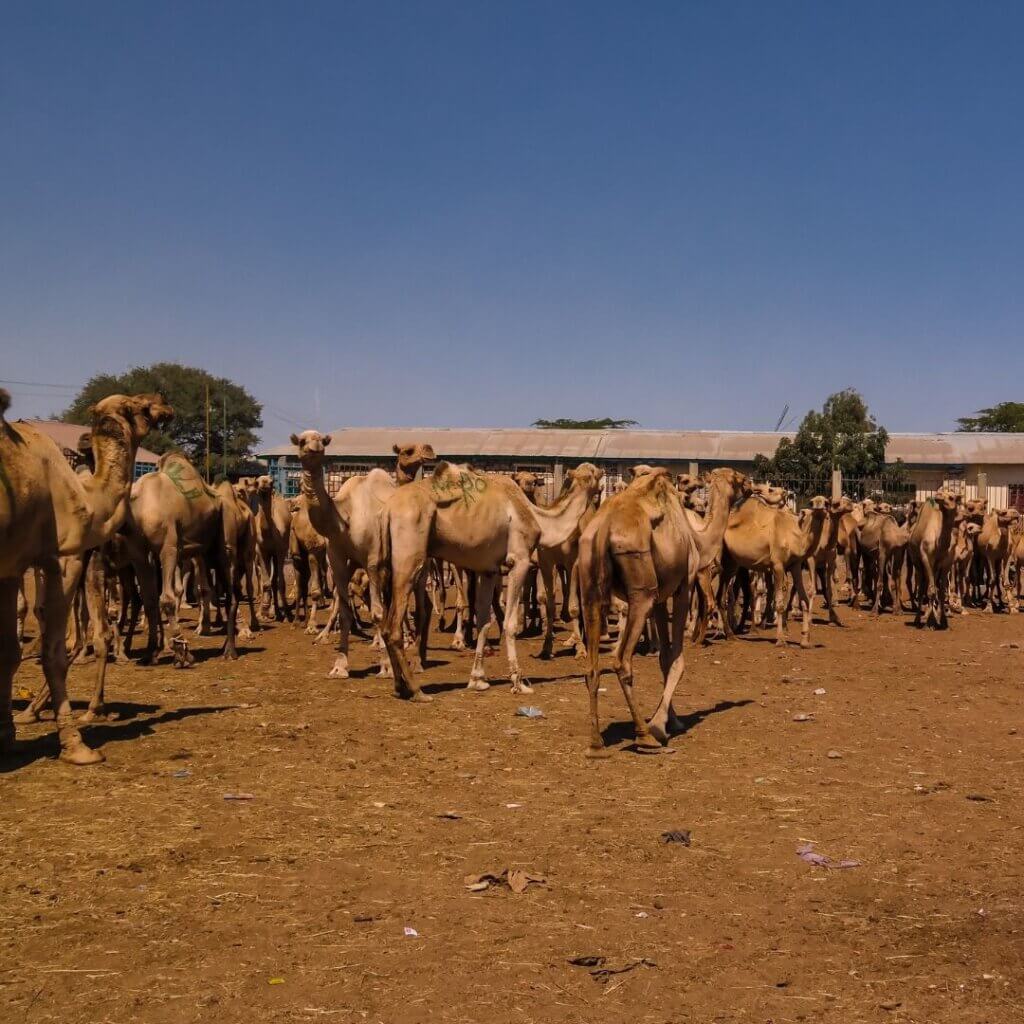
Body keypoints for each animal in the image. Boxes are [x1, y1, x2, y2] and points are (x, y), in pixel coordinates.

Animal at [1, 389, 173, 761]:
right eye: (140, 405)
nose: (166, 405)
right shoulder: (55, 560)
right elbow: (46, 648)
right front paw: (72, 742)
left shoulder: (24, 564)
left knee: (134, 607)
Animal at [716, 491, 827, 643]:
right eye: (812, 502)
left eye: (827, 502)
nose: (820, 509)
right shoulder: (778, 565)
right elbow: (779, 602)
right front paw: (780, 639)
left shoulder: (795, 565)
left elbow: (804, 599)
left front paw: (805, 640)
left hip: (732, 563)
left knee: (721, 596)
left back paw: (730, 634)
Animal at [909, 491, 962, 626]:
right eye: (941, 493)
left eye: (951, 497)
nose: (938, 497)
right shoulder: (926, 558)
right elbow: (931, 590)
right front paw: (931, 622)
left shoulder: (946, 564)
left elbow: (942, 593)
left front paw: (942, 620)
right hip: (917, 563)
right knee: (922, 587)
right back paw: (918, 619)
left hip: (935, 568)